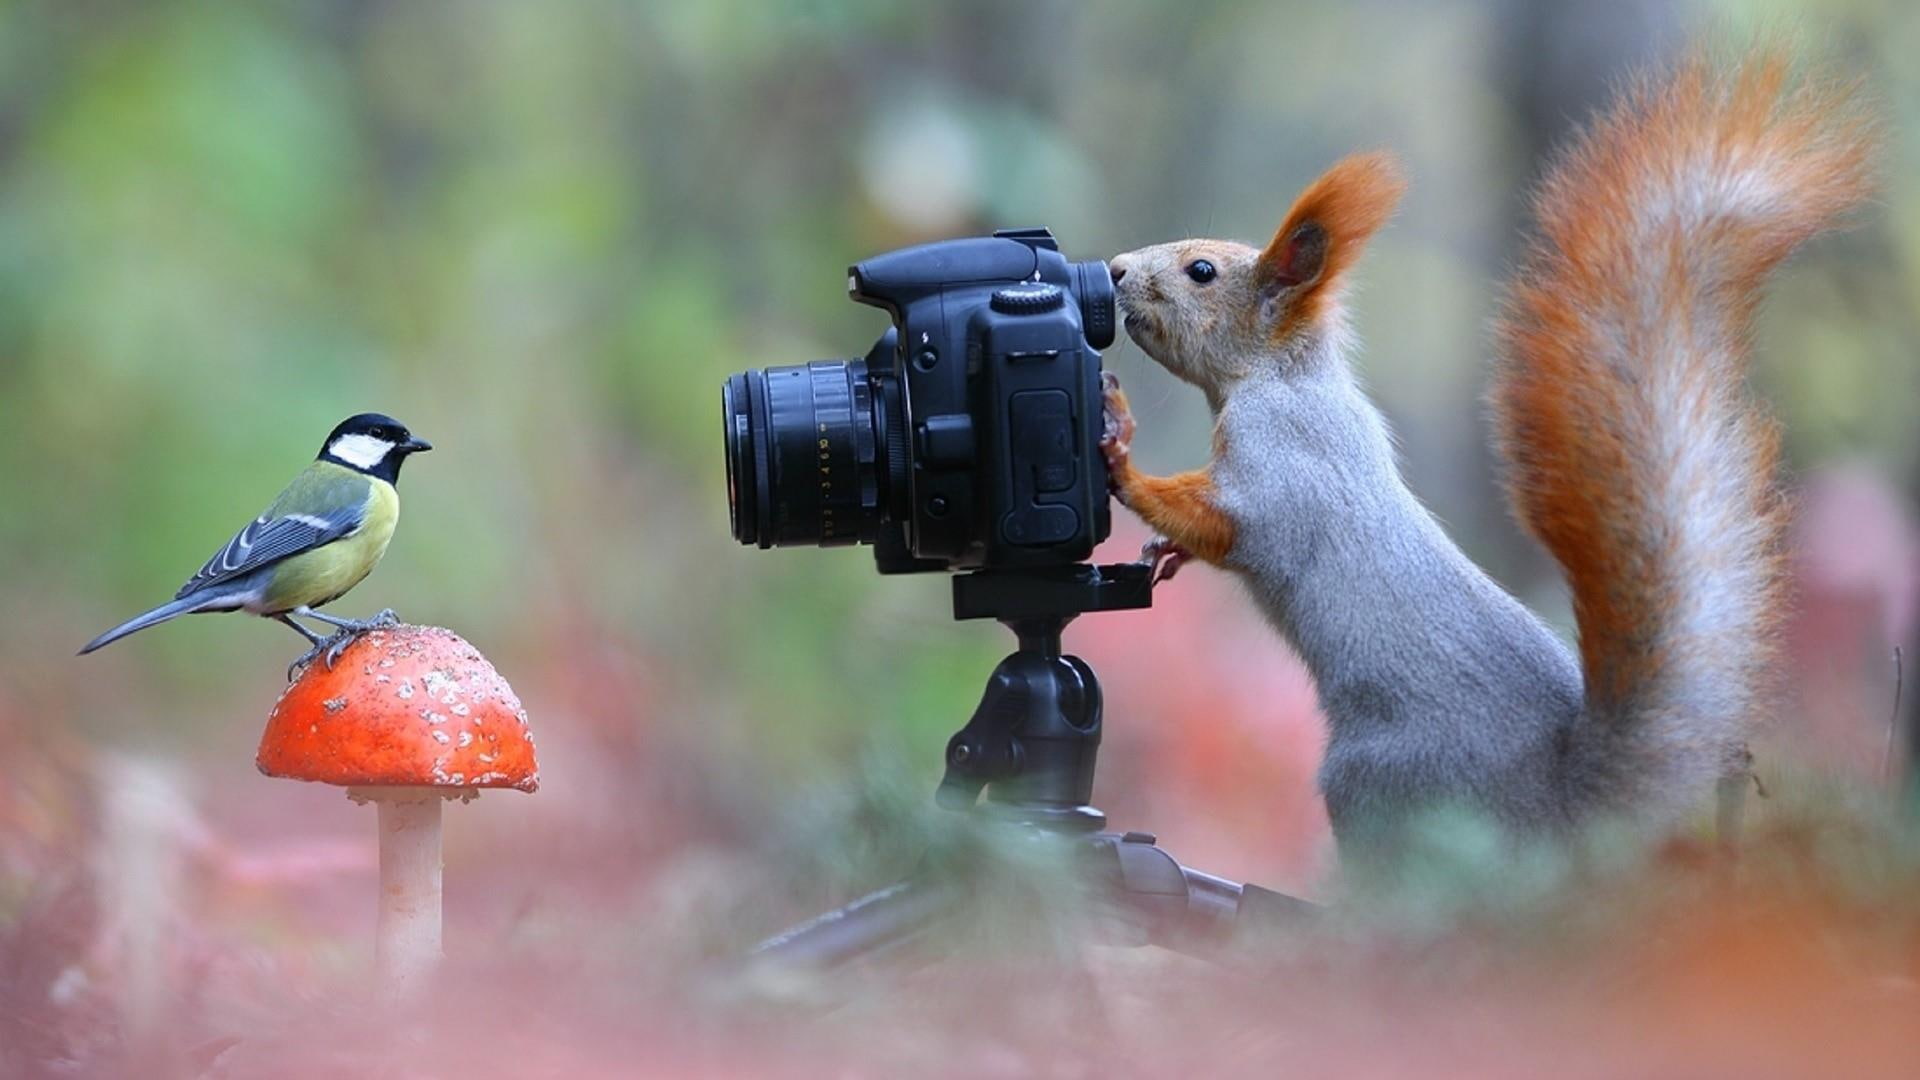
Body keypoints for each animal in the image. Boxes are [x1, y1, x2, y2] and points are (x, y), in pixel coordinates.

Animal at [1099, 47, 1879, 863]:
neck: (1282, 377)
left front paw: (1122, 454)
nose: (1114, 268)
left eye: (1202, 272)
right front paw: (1165, 551)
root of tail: (1559, 812)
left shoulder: (1284, 460)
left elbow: (1233, 521)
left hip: (1379, 780)